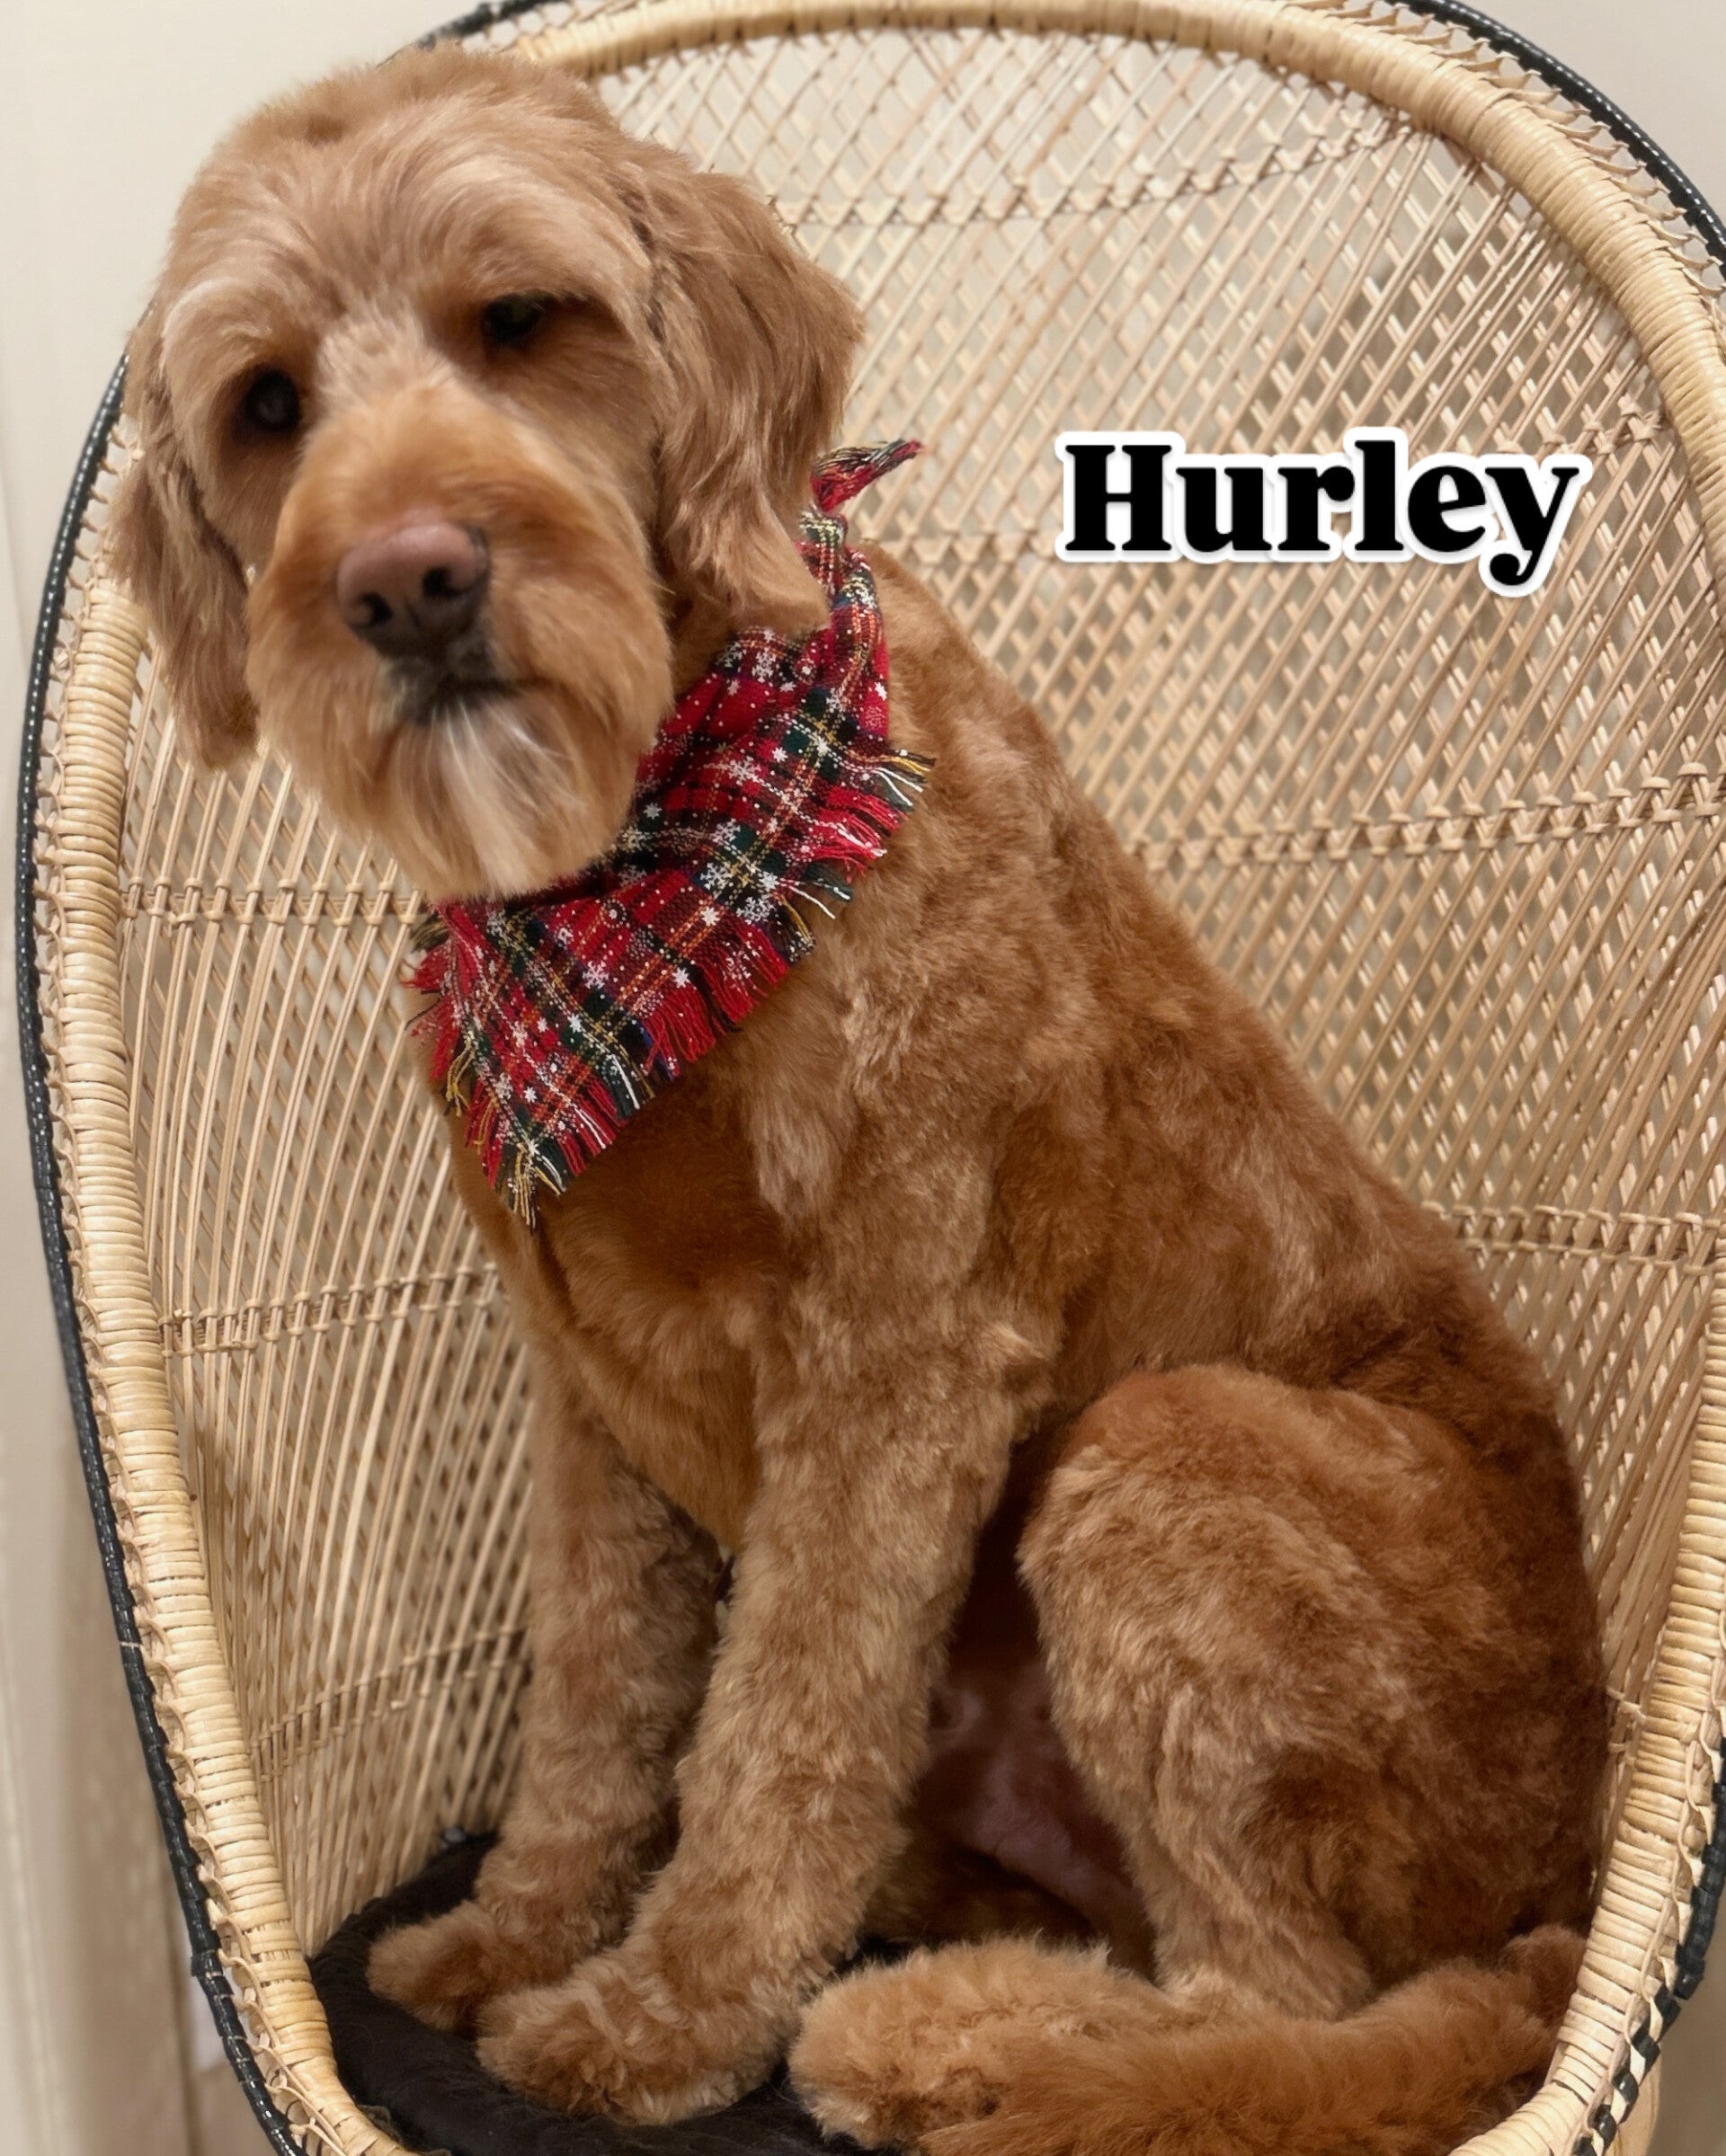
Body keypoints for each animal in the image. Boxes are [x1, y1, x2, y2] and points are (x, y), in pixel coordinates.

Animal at [112, 44, 1607, 2156]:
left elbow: (782, 1727)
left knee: (1287, 2005)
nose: (406, 580)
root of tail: (1571, 1869)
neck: (641, 870)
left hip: (1167, 1447)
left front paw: (658, 2013)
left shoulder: (896, 1351)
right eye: (266, 403)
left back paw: (939, 2035)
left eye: (521, 319)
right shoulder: (591, 1387)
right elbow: (597, 1698)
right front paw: (519, 1927)